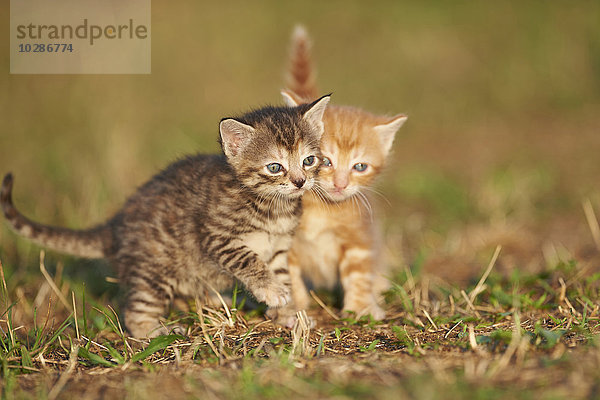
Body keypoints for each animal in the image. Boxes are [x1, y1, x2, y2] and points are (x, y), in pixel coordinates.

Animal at [1, 97, 328, 338]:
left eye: (309, 160)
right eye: (275, 167)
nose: (300, 182)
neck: (273, 208)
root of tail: (115, 226)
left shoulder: (280, 248)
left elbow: (282, 275)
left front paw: (289, 313)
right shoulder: (217, 237)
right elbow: (249, 261)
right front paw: (271, 291)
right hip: (154, 271)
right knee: (135, 312)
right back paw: (155, 331)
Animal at [278, 26, 406, 322]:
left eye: (360, 167)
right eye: (324, 161)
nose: (341, 184)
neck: (321, 211)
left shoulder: (360, 236)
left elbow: (358, 274)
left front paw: (360, 308)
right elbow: (289, 275)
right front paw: (294, 309)